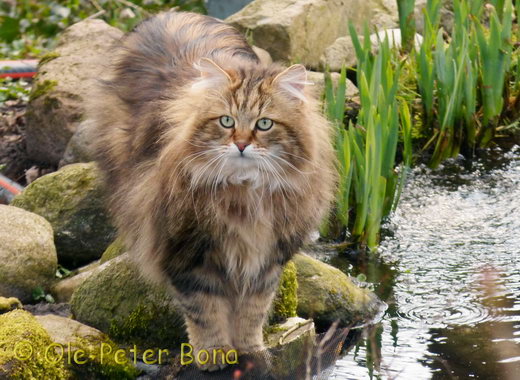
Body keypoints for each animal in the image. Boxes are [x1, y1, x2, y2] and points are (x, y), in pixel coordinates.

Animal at [88, 11, 334, 372]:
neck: (245, 196)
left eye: (264, 124)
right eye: (226, 121)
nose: (242, 144)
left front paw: (250, 349)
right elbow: (206, 312)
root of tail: (169, 13)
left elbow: (252, 312)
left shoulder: (266, 259)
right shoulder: (189, 253)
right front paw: (214, 354)